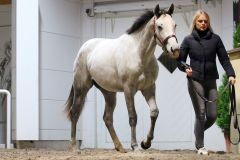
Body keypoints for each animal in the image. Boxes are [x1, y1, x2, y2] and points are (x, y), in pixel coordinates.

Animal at [65, 3, 180, 152]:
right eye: (160, 26)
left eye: (175, 25)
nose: (175, 49)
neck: (139, 54)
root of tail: (83, 48)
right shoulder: (128, 90)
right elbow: (133, 117)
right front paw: (135, 145)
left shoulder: (149, 88)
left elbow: (154, 112)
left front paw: (146, 143)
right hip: (81, 88)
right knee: (74, 113)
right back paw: (74, 147)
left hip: (109, 93)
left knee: (107, 118)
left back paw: (119, 147)